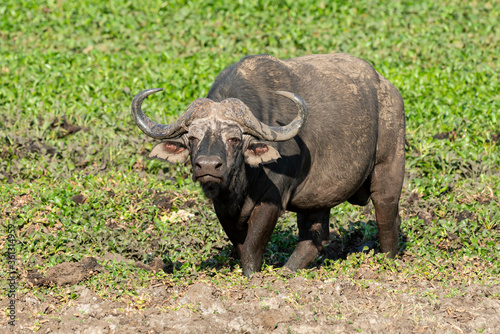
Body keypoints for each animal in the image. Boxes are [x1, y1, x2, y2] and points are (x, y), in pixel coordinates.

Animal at [133, 52, 406, 276]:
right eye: (192, 138)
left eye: (234, 139)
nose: (208, 166)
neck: (242, 182)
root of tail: (389, 90)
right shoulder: (223, 206)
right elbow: (240, 244)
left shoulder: (271, 201)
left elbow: (253, 244)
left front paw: (251, 276)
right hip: (316, 200)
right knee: (314, 235)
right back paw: (287, 271)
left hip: (389, 169)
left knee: (386, 215)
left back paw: (386, 261)